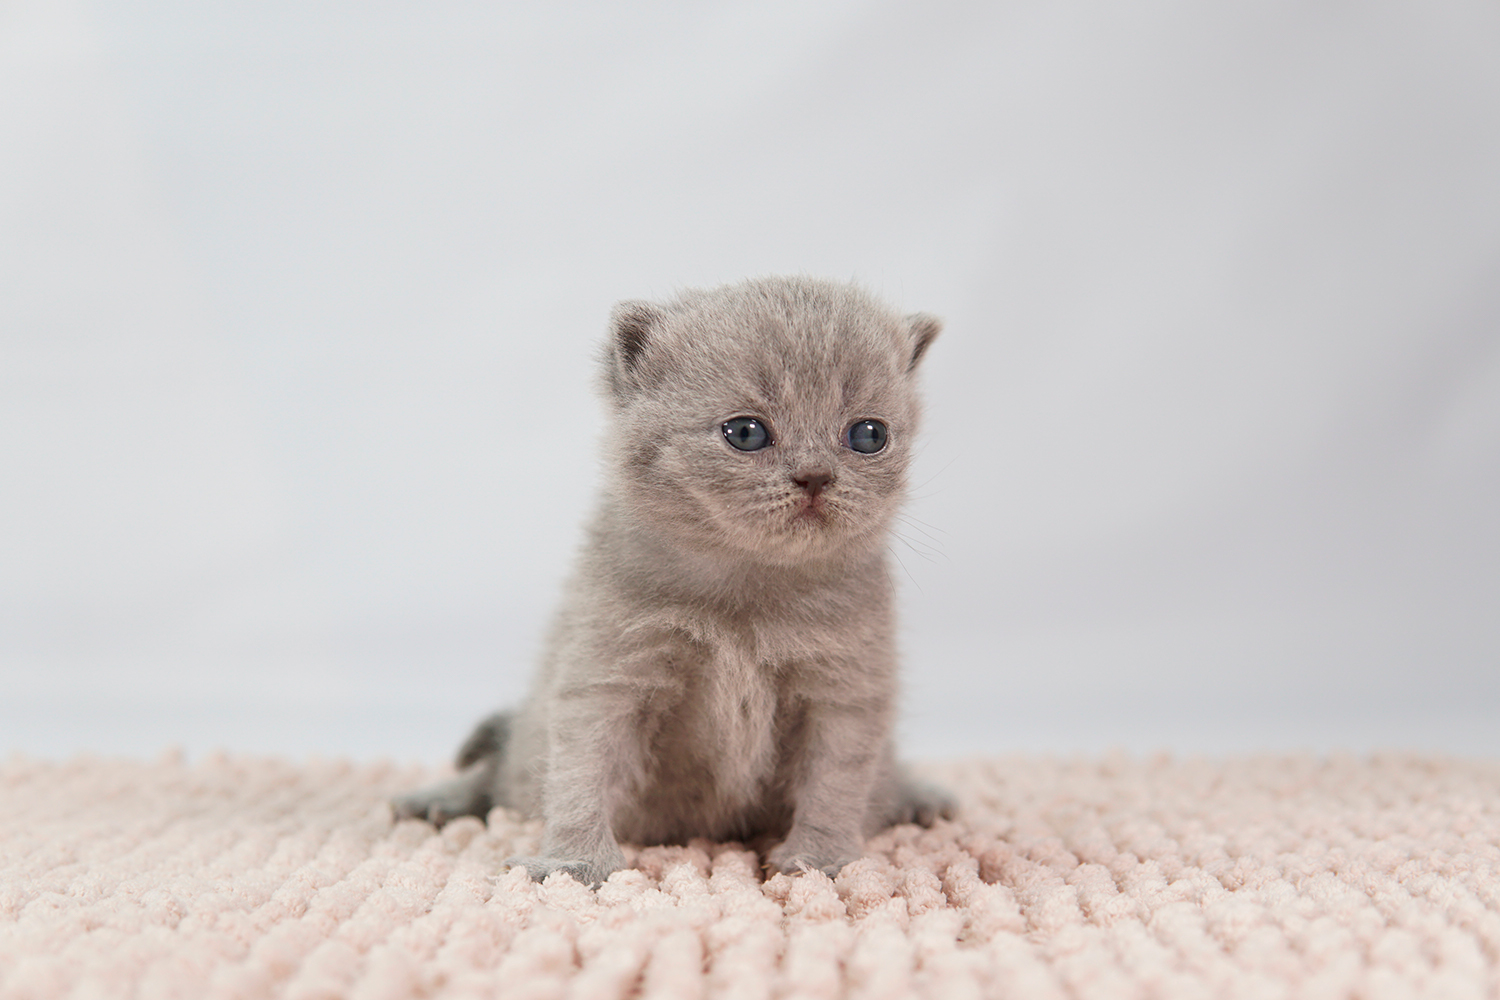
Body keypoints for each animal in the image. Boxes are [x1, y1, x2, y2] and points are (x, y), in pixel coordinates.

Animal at [393, 274, 954, 881]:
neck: (746, 595)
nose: (815, 477)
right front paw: (575, 861)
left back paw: (920, 798)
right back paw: (437, 800)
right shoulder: (609, 671)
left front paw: (820, 859)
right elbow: (580, 773)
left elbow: (836, 781)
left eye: (868, 435)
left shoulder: (845, 688)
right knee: (503, 771)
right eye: (746, 433)